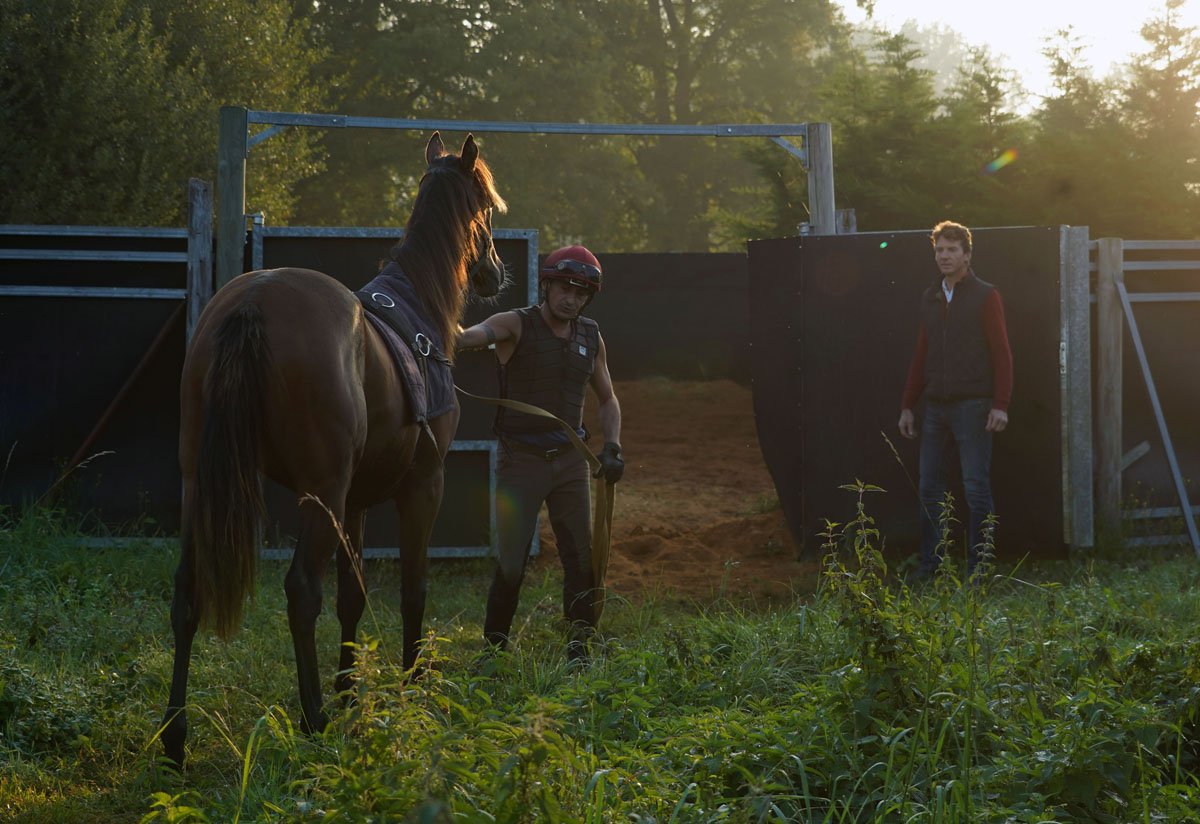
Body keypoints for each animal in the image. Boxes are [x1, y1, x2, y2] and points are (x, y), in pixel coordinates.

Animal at [160, 132, 507, 769]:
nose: (495, 272)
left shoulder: (357, 500)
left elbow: (354, 594)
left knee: (188, 593)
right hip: (319, 495)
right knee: (301, 591)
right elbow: (412, 589)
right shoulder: (422, 487)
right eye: (488, 209)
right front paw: (409, 687)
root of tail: (254, 301)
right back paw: (313, 718)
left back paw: (176, 736)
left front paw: (351, 693)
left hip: (201, 484)